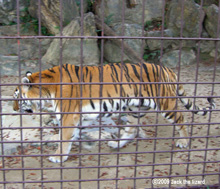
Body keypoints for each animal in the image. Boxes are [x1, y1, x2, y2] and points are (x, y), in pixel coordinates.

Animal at [12, 63, 215, 162]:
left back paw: (183, 142)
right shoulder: (79, 117)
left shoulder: (69, 116)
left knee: (181, 120)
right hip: (135, 109)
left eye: (17, 97)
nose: (13, 110)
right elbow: (72, 135)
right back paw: (116, 144)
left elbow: (65, 137)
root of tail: (168, 69)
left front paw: (57, 157)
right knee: (132, 129)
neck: (46, 91)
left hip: (166, 104)